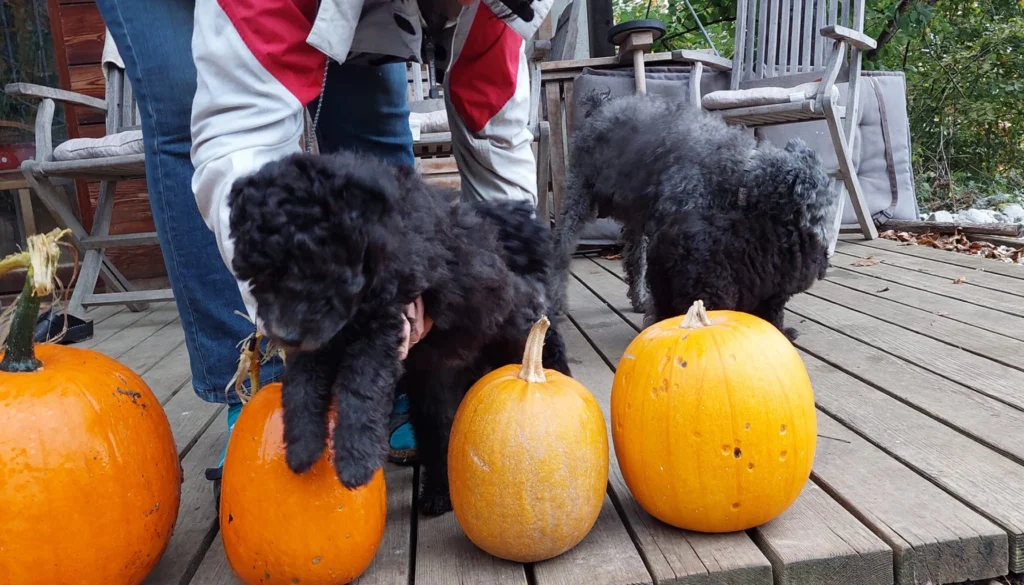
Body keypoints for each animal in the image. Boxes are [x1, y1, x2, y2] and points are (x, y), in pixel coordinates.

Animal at [227, 152, 573, 516]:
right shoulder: (322, 338)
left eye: (316, 267)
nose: (286, 334)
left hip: (515, 334)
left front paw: (355, 459)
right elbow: (301, 385)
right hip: (433, 388)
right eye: (257, 276)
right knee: (439, 436)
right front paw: (302, 447)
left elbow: (360, 385)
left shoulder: (385, 322)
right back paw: (437, 494)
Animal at [647, 138, 839, 338]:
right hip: (709, 292)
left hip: (661, 290)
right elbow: (774, 315)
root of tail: (669, 245)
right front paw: (784, 332)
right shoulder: (773, 294)